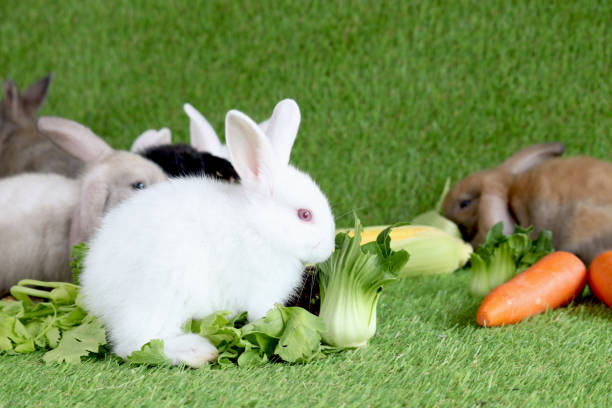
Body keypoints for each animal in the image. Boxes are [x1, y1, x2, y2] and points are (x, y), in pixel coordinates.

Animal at [80, 99, 334, 366]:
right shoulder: (262, 292)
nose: (329, 248)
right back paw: (197, 351)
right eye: (304, 214)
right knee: (136, 343)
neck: (260, 226)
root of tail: (96, 292)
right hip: (158, 297)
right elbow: (265, 314)